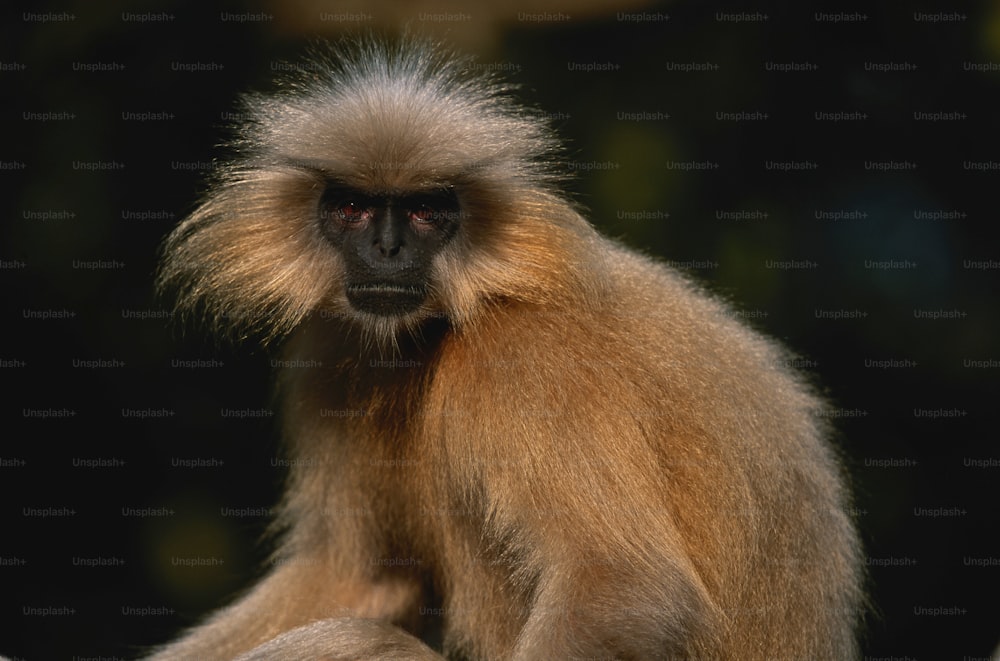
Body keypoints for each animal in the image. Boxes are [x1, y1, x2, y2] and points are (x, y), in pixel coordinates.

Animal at [150, 38, 868, 660]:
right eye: (353, 210)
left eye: (424, 213)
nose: (388, 249)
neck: (447, 321)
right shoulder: (334, 344)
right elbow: (363, 577)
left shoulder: (522, 352)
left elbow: (623, 587)